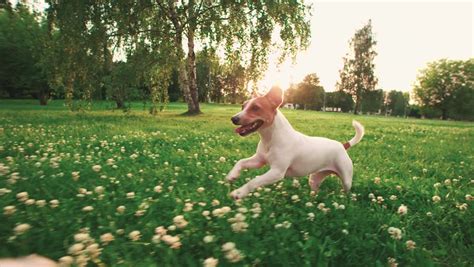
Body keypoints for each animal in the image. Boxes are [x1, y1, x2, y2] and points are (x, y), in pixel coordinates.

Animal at [226, 87, 362, 200]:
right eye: (242, 106)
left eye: (255, 107)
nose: (233, 118)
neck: (270, 139)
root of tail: (342, 145)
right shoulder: (259, 161)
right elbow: (241, 162)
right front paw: (232, 175)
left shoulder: (277, 172)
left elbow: (255, 181)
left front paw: (240, 192)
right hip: (314, 179)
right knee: (315, 190)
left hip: (346, 179)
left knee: (346, 191)